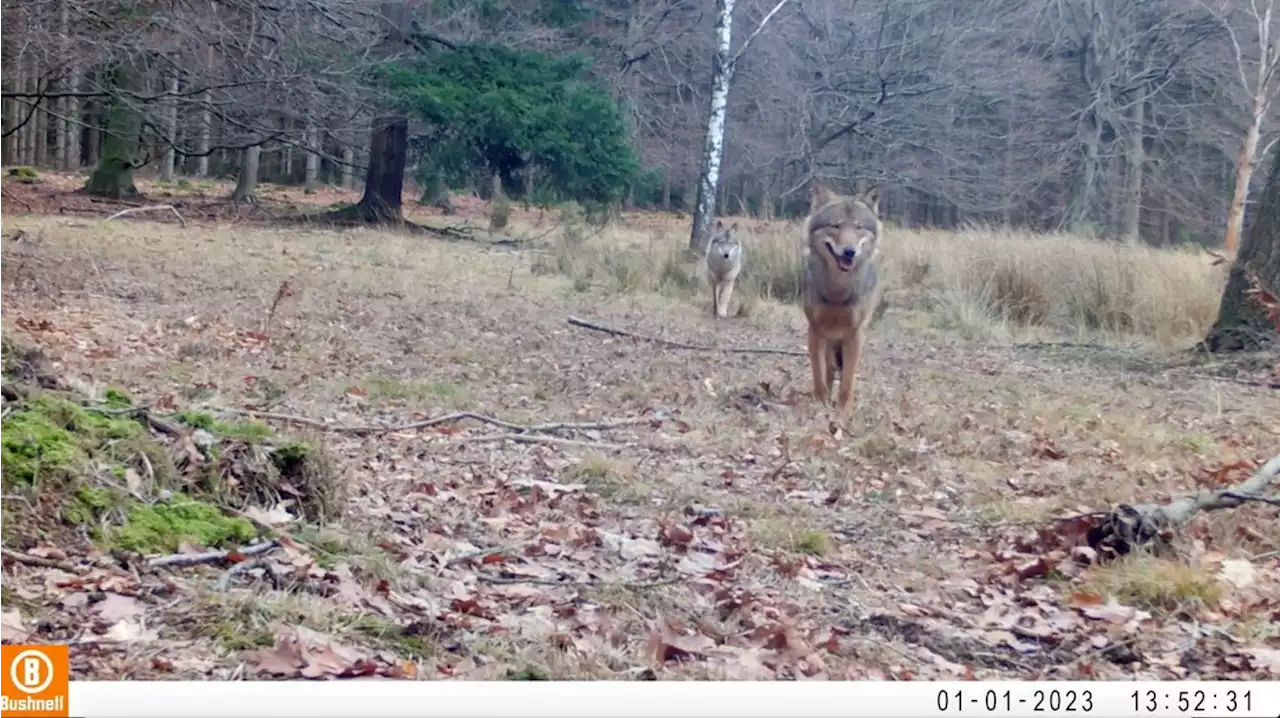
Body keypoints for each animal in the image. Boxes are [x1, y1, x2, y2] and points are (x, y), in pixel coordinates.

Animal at [803, 181, 885, 412]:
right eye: (836, 226)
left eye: (858, 227)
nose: (849, 252)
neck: (837, 292)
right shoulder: (815, 331)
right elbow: (819, 374)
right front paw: (821, 403)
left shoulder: (855, 334)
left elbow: (848, 380)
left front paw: (843, 411)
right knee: (830, 368)